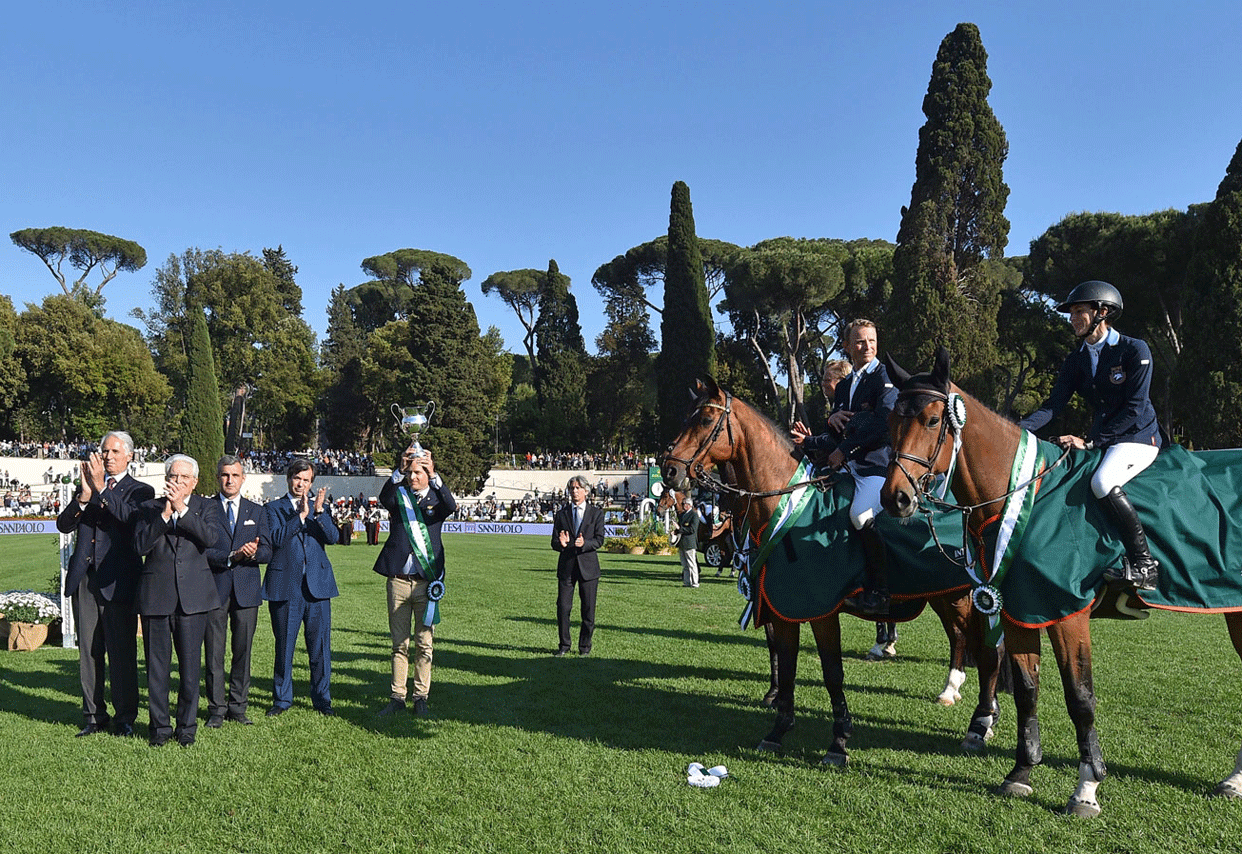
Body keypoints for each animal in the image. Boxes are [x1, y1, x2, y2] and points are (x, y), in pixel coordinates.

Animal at [660, 377, 998, 764]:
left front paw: (838, 742)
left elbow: (832, 671)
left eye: (703, 421)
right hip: (943, 595)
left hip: (966, 595)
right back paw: (954, 693)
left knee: (988, 651)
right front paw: (777, 730)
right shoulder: (783, 606)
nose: (668, 469)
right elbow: (787, 665)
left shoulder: (821, 611)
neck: (787, 503)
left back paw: (982, 721)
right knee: (960, 638)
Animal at [884, 345, 1242, 814]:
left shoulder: (1064, 612)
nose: (896, 498)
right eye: (891, 421)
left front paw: (1086, 788)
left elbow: (1080, 697)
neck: (1023, 495)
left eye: (930, 420)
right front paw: (1020, 772)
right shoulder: (1018, 608)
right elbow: (1027, 689)